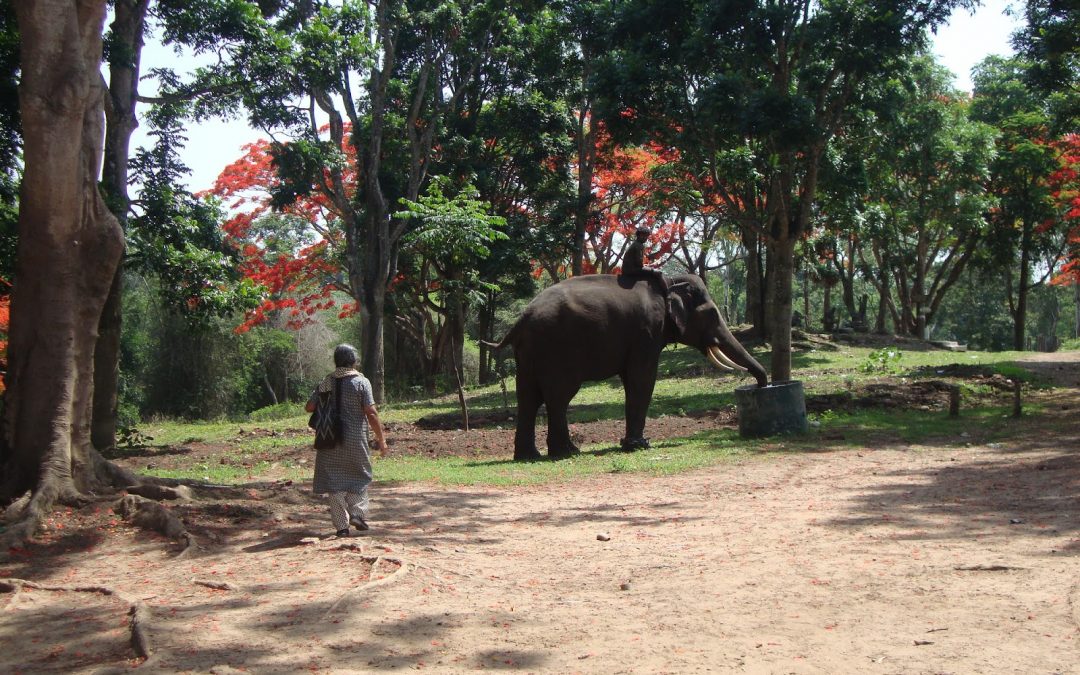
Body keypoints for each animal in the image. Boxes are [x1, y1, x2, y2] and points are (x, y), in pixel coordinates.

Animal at [490, 271, 768, 460]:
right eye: (712, 313)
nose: (760, 386)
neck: (669, 282)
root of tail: (521, 319)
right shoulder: (646, 332)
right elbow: (642, 378)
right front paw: (639, 445)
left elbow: (632, 379)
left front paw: (631, 443)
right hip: (556, 348)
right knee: (558, 397)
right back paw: (568, 452)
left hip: (529, 352)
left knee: (529, 397)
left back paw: (530, 456)